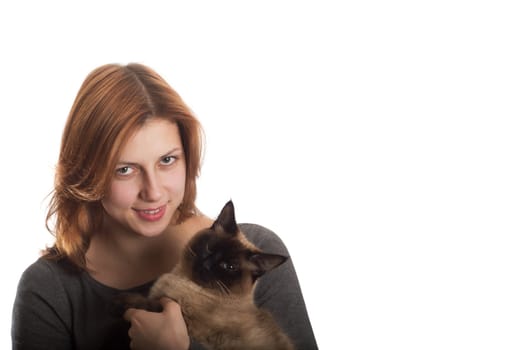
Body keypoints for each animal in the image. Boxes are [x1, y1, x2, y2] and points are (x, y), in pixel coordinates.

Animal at [115, 200, 294, 350]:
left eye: (229, 266)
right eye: (210, 248)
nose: (207, 265)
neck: (183, 281)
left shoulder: (188, 326)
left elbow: (148, 304)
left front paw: (123, 300)